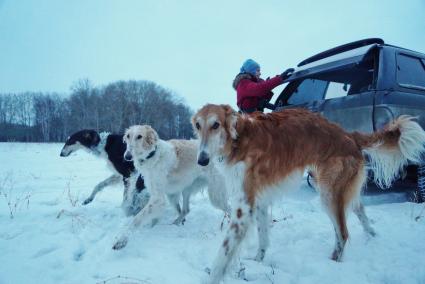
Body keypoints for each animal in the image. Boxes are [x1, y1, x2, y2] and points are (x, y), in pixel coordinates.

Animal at [191, 104, 424, 284]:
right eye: (198, 125)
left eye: (216, 125)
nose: (201, 160)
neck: (238, 139)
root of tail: (349, 135)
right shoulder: (260, 200)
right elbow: (263, 238)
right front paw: (258, 261)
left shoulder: (243, 206)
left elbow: (223, 254)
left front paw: (212, 277)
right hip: (337, 189)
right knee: (359, 208)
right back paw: (372, 236)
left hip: (328, 194)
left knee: (343, 233)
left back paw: (333, 264)